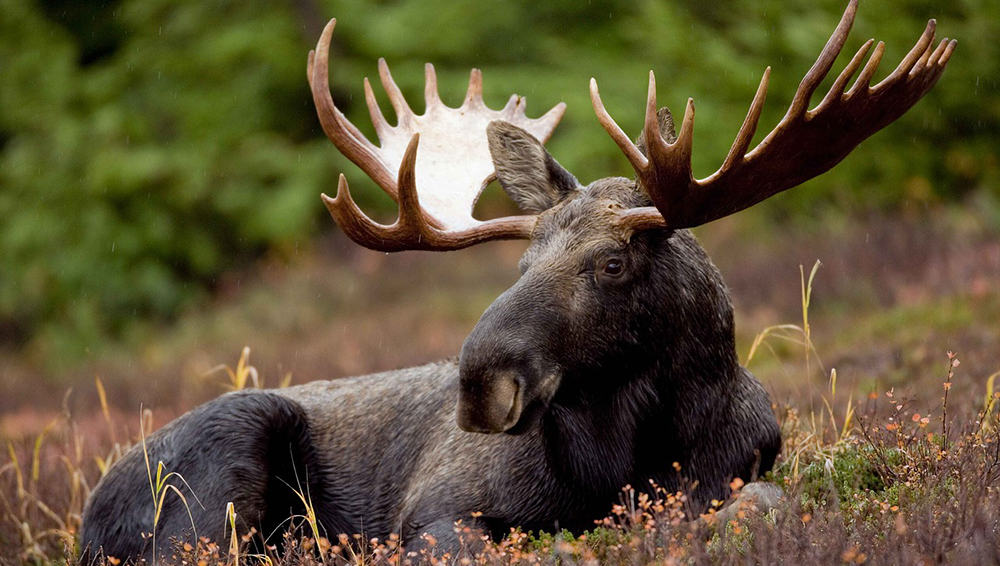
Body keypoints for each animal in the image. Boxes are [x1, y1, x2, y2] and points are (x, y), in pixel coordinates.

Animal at [78, 2, 952, 564]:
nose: (479, 384)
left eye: (612, 262)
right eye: (522, 265)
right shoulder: (437, 513)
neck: (628, 457)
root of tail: (88, 513)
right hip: (216, 479)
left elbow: (760, 507)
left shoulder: (745, 471)